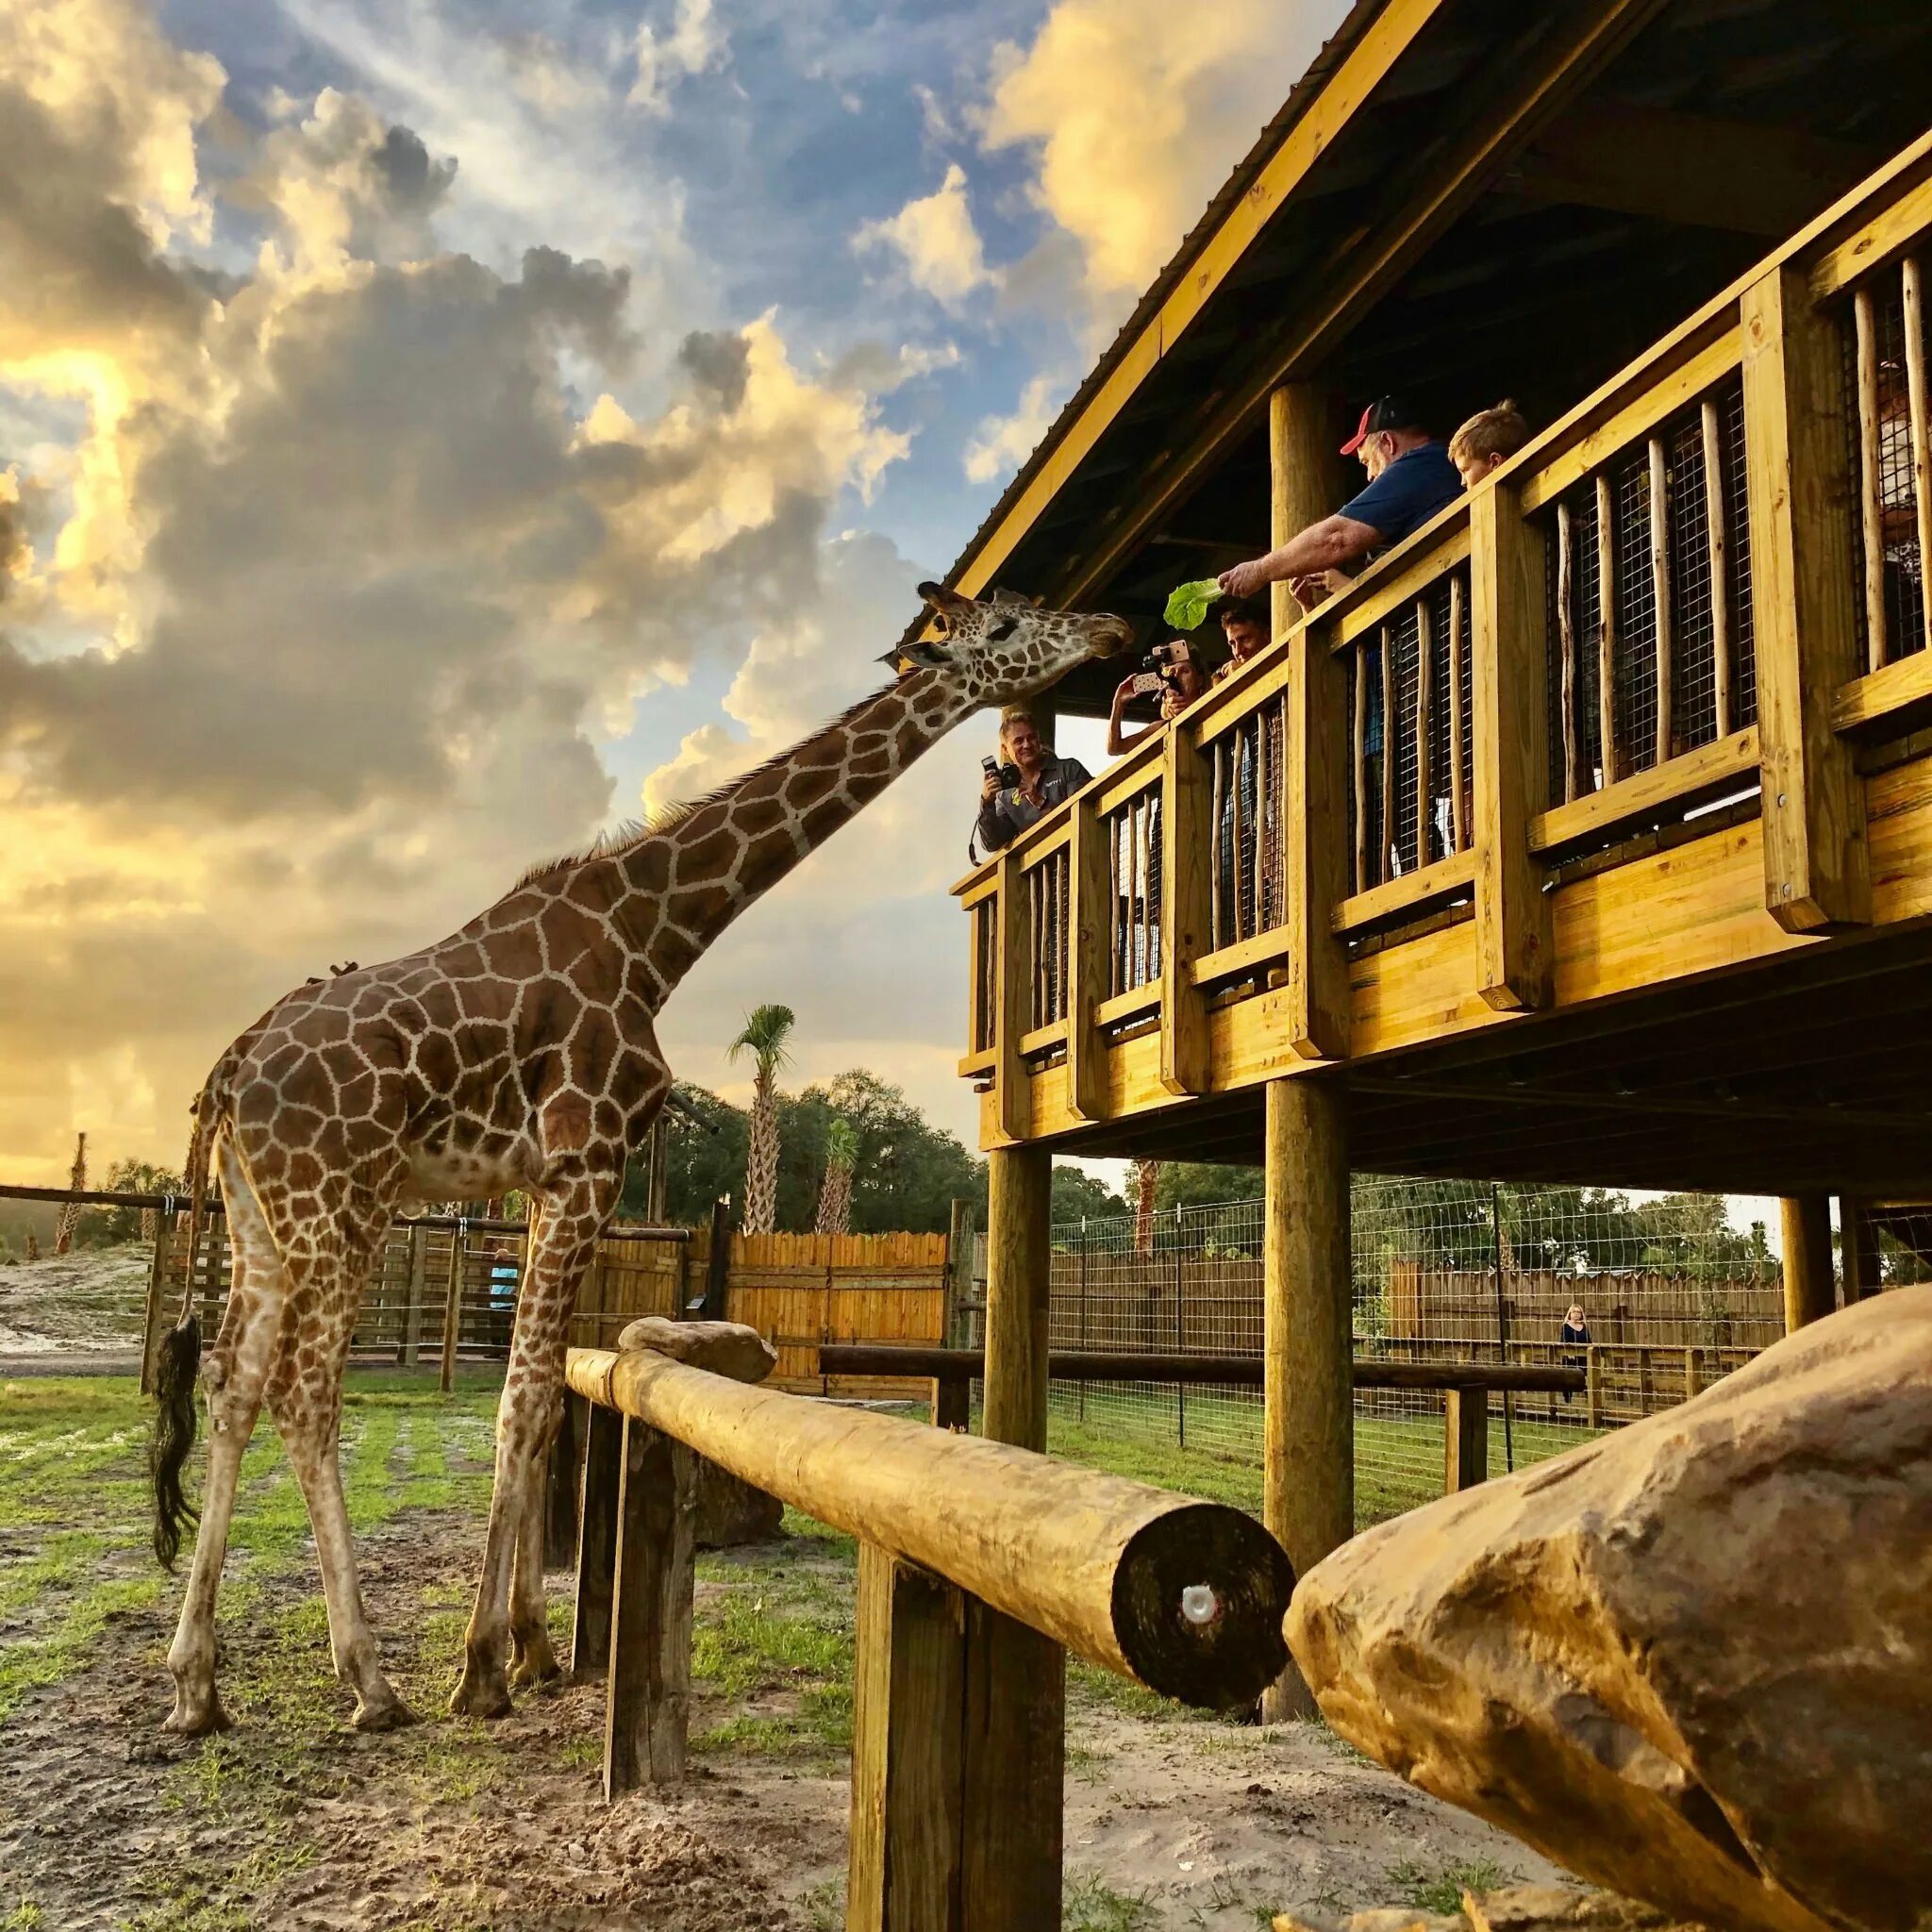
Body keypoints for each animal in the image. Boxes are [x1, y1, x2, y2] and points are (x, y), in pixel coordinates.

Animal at [150, 579, 1128, 1731]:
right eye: (1007, 627)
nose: (1111, 630)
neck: (652, 938)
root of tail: (232, 1067)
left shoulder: (551, 1184)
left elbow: (539, 1393)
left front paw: (528, 1644)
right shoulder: (587, 1162)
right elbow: (525, 1401)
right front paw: (481, 1666)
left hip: (261, 1214)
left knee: (232, 1382)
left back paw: (197, 1682)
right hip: (342, 1200)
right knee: (305, 1392)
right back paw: (371, 1680)